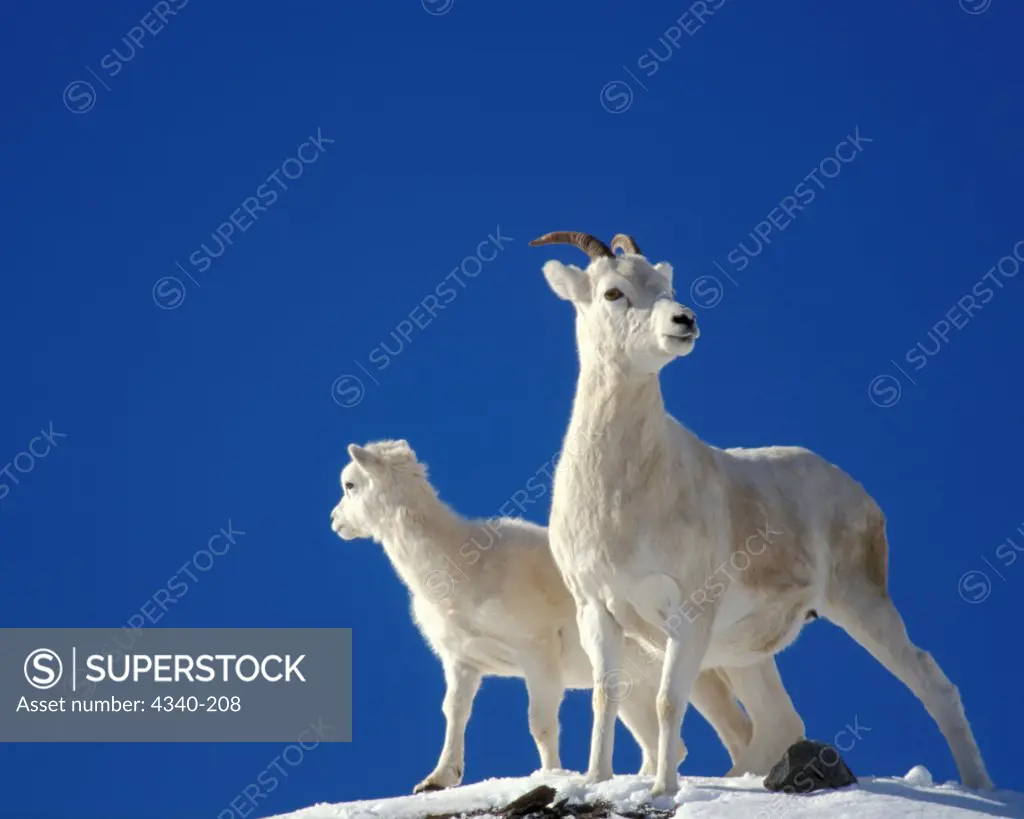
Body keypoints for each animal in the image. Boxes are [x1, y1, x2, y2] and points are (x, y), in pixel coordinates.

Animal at [327, 442, 790, 794]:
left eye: (350, 484)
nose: (335, 522)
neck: (462, 565)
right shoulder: (464, 663)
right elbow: (454, 714)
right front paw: (438, 779)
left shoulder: (537, 656)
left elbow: (541, 724)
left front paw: (549, 775)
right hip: (638, 689)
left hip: (709, 673)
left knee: (746, 731)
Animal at [532, 228, 995, 794]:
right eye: (613, 293)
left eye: (665, 285)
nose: (683, 321)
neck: (623, 496)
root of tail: (861, 495)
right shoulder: (598, 612)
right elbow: (605, 698)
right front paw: (597, 781)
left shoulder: (688, 615)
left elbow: (667, 703)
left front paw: (662, 791)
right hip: (747, 656)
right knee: (779, 724)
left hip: (860, 606)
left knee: (932, 685)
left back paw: (980, 788)